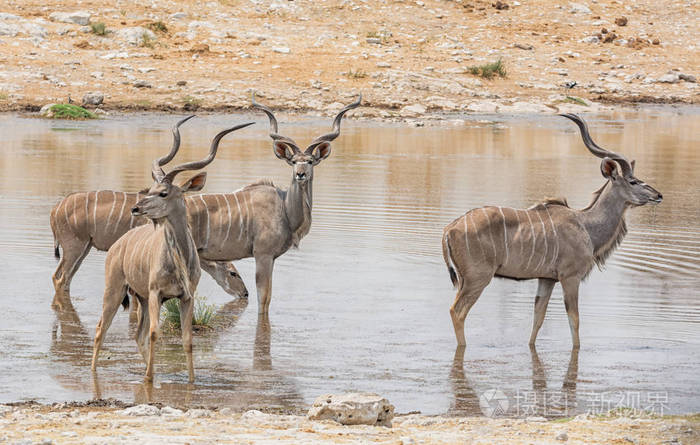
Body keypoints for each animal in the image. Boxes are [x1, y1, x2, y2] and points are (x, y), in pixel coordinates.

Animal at [50, 116, 246, 306]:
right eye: (233, 273)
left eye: (162, 192)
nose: (245, 293)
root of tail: (56, 209)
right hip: (74, 246)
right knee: (61, 278)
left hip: (85, 247)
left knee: (63, 277)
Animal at [90, 121, 253, 382]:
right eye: (151, 189)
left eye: (163, 193)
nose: (136, 208)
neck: (180, 260)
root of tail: (118, 245)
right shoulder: (157, 293)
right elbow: (155, 333)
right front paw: (149, 379)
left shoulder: (186, 296)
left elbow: (187, 339)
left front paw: (191, 380)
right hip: (115, 290)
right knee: (101, 329)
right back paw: (95, 372)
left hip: (142, 298)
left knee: (137, 334)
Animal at [186, 91, 360, 312]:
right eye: (293, 161)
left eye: (310, 161)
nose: (300, 174)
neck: (284, 209)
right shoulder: (263, 255)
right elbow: (264, 298)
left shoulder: (271, 258)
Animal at [442, 113, 660, 346]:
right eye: (633, 181)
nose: (658, 195)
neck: (585, 224)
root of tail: (450, 229)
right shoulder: (570, 277)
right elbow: (574, 319)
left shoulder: (546, 280)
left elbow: (538, 318)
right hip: (478, 278)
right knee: (457, 311)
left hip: (465, 279)